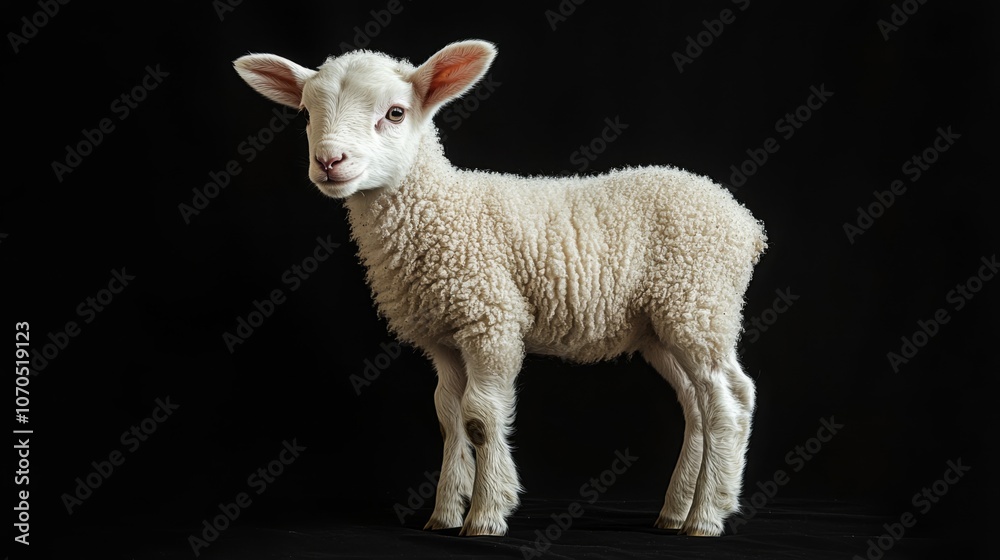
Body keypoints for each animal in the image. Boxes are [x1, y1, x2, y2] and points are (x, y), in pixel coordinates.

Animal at [234, 39, 767, 538]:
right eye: (306, 114)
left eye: (395, 112)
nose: (329, 161)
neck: (442, 208)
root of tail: (745, 221)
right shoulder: (443, 335)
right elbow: (448, 417)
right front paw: (445, 513)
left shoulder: (490, 319)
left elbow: (480, 417)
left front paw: (487, 514)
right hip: (661, 326)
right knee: (697, 405)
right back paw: (677, 511)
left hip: (697, 303)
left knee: (729, 400)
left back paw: (708, 515)